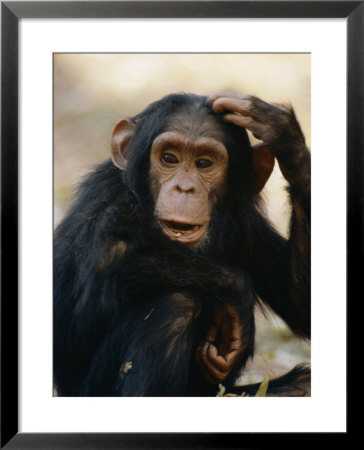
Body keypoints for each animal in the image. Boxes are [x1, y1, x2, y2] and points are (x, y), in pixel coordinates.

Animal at [54, 92, 310, 398]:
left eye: (204, 163)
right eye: (169, 158)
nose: (184, 188)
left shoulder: (245, 223)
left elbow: (298, 301)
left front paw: (283, 136)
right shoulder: (108, 197)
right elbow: (105, 263)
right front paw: (238, 293)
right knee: (176, 304)